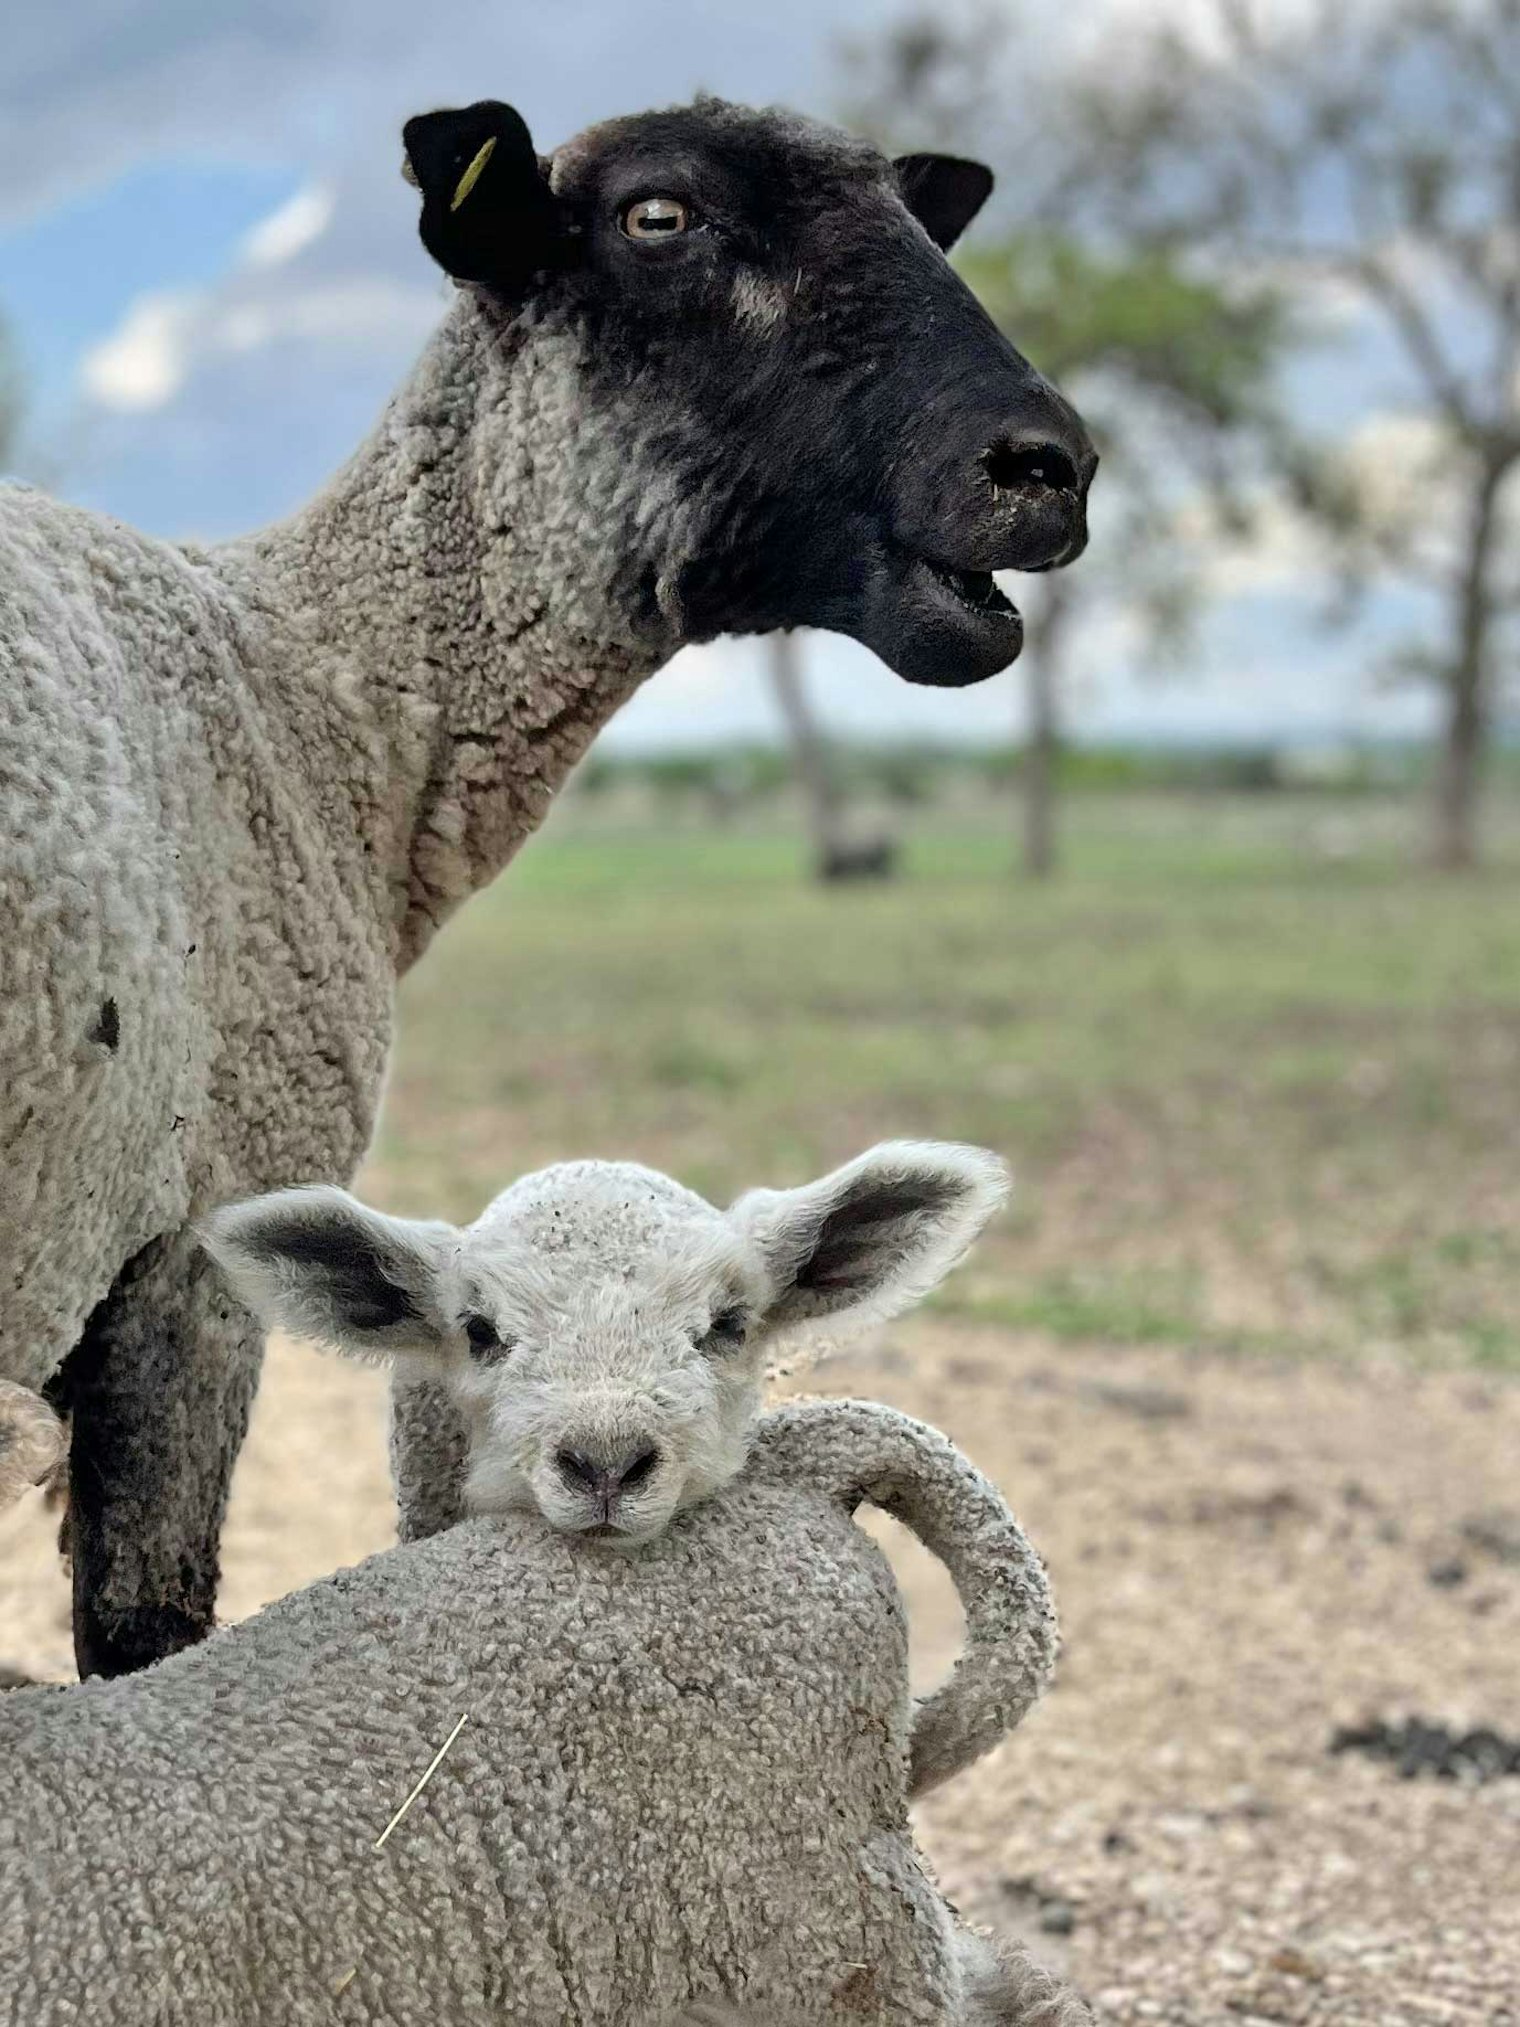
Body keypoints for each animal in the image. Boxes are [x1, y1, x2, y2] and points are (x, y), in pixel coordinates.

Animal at [0, 92, 1093, 1678]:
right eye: (657, 217)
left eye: (912, 214)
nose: (1046, 468)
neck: (322, 709)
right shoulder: (192, 1247)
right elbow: (148, 1634)